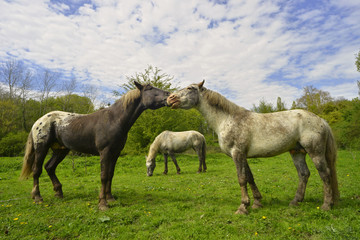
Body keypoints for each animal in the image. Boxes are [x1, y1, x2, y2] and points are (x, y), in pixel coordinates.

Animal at [167, 80, 338, 214]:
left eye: (190, 88)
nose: (170, 98)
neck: (228, 119)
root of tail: (321, 120)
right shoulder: (243, 155)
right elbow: (250, 177)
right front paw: (256, 203)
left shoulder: (237, 153)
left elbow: (241, 179)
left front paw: (243, 207)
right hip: (297, 152)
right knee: (304, 174)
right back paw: (295, 201)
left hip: (315, 152)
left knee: (325, 174)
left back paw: (326, 205)